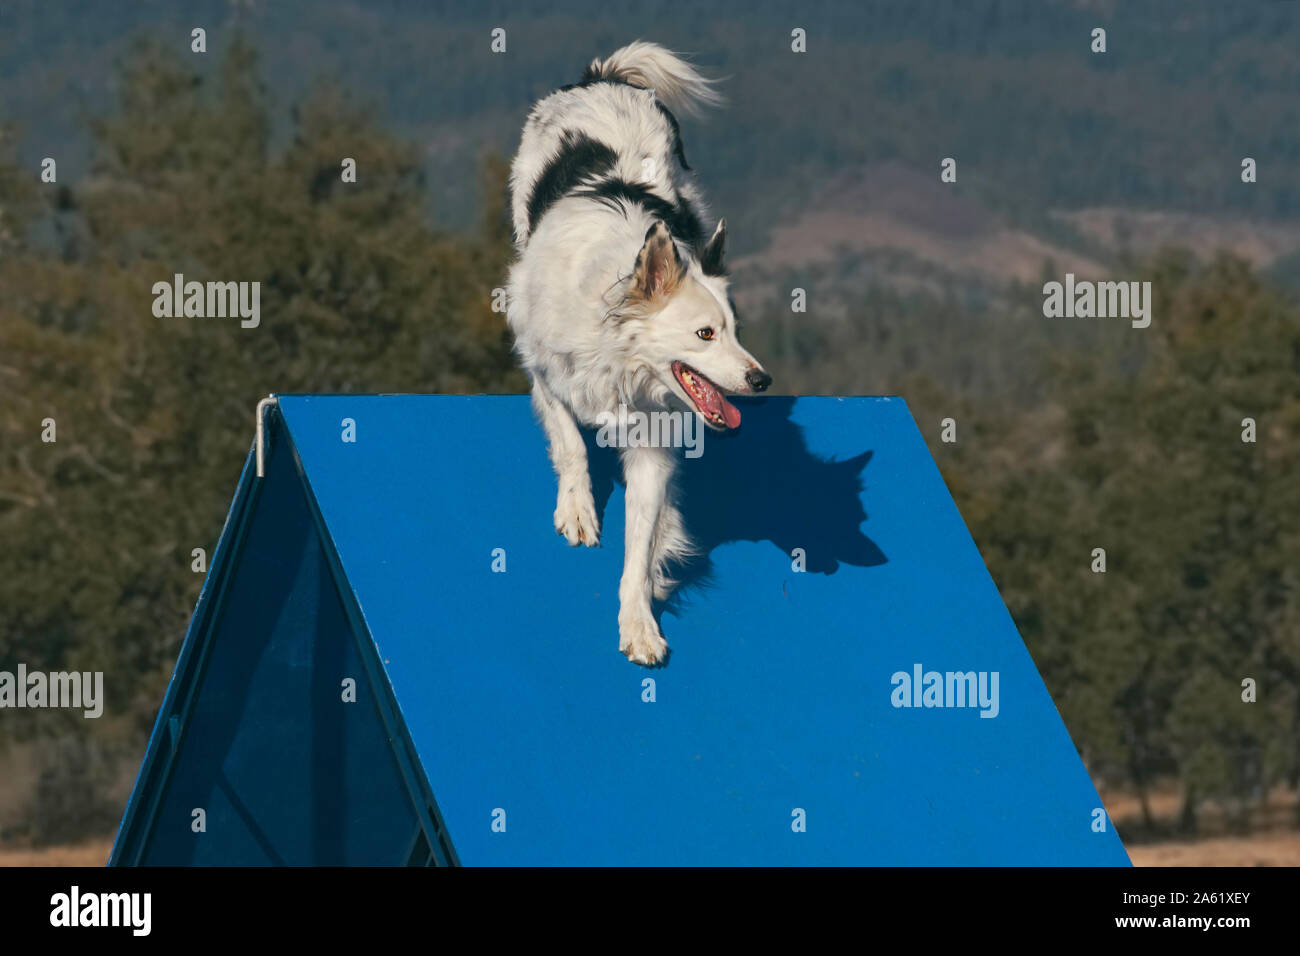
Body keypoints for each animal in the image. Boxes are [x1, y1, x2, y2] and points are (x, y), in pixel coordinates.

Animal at [506, 39, 769, 665]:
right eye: (705, 334)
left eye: (735, 329)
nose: (761, 380)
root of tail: (604, 78)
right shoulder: (541, 363)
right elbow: (570, 441)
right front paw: (577, 507)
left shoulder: (652, 442)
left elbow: (641, 541)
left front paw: (639, 620)